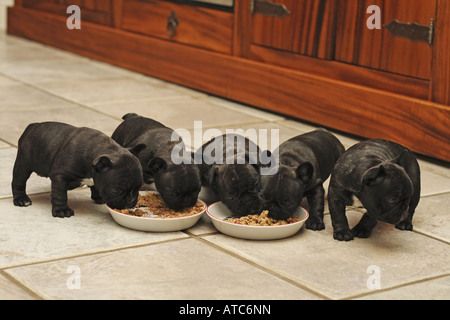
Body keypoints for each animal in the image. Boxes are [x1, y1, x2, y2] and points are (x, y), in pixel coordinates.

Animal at [11, 122, 144, 218]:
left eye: (139, 187)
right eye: (115, 190)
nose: (131, 201)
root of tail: (32, 126)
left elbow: (96, 186)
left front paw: (98, 197)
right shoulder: (60, 177)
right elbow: (60, 194)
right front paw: (62, 210)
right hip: (23, 164)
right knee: (18, 181)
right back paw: (21, 199)